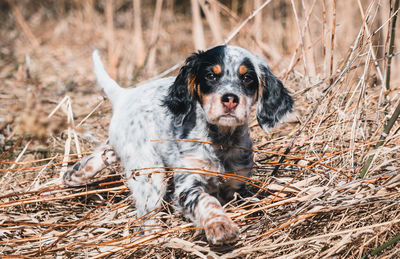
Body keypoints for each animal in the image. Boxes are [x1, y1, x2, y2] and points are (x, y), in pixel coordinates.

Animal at [63, 45, 294, 246]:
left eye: (247, 78)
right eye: (210, 76)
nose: (230, 99)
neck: (220, 140)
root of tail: (126, 95)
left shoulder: (238, 184)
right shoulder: (187, 187)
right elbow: (207, 201)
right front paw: (221, 225)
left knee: (106, 150)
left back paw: (75, 173)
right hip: (149, 173)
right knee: (147, 214)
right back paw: (153, 238)